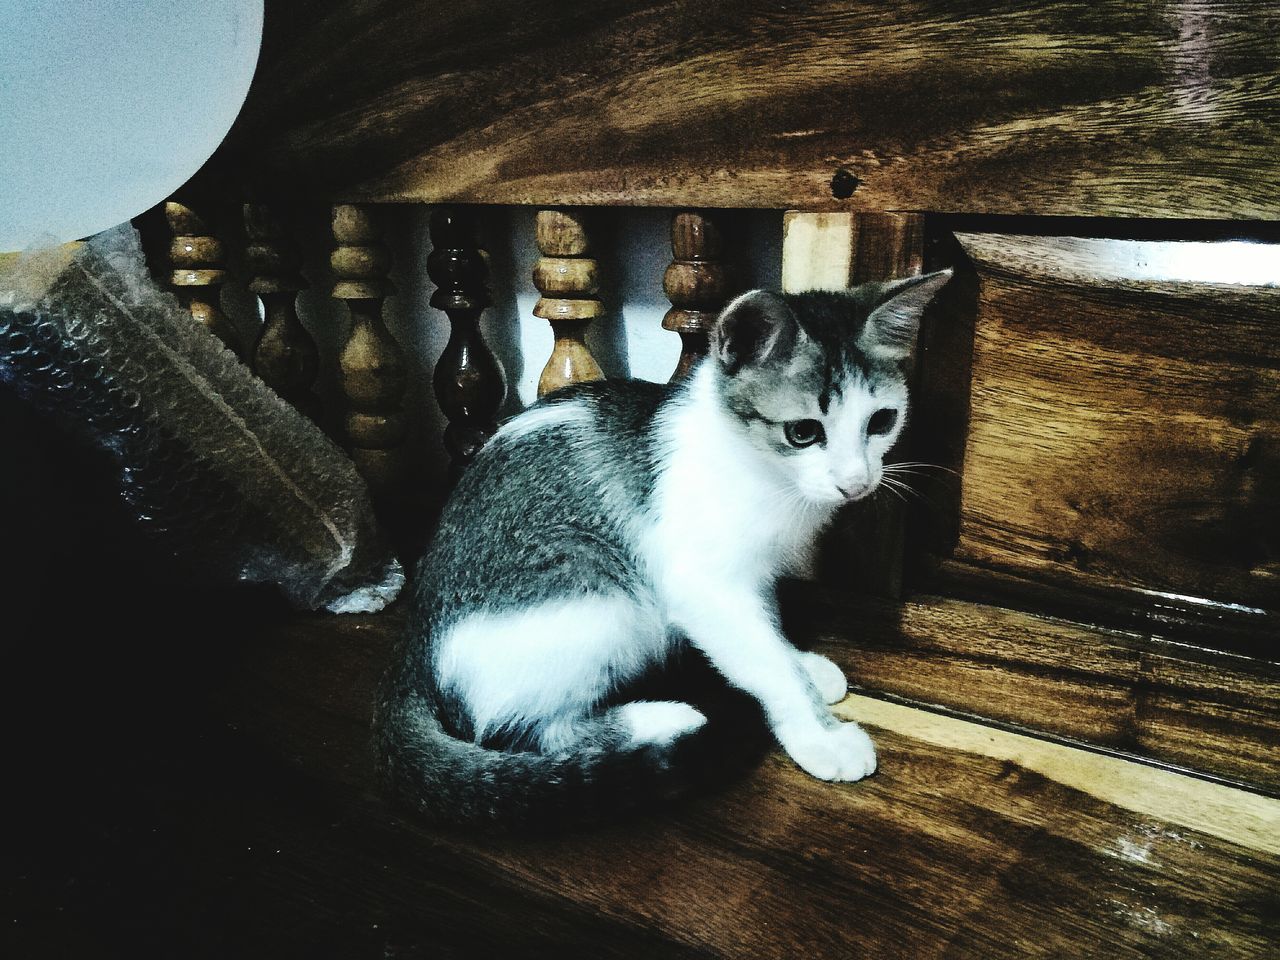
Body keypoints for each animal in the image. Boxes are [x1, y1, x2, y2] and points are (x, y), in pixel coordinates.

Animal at [373, 268, 957, 829]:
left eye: (881, 421)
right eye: (803, 432)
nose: (856, 483)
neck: (758, 470)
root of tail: (414, 650)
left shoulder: (753, 574)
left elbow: (765, 631)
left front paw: (801, 663)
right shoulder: (703, 583)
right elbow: (761, 657)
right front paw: (820, 733)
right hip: (596, 589)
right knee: (521, 730)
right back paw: (660, 720)